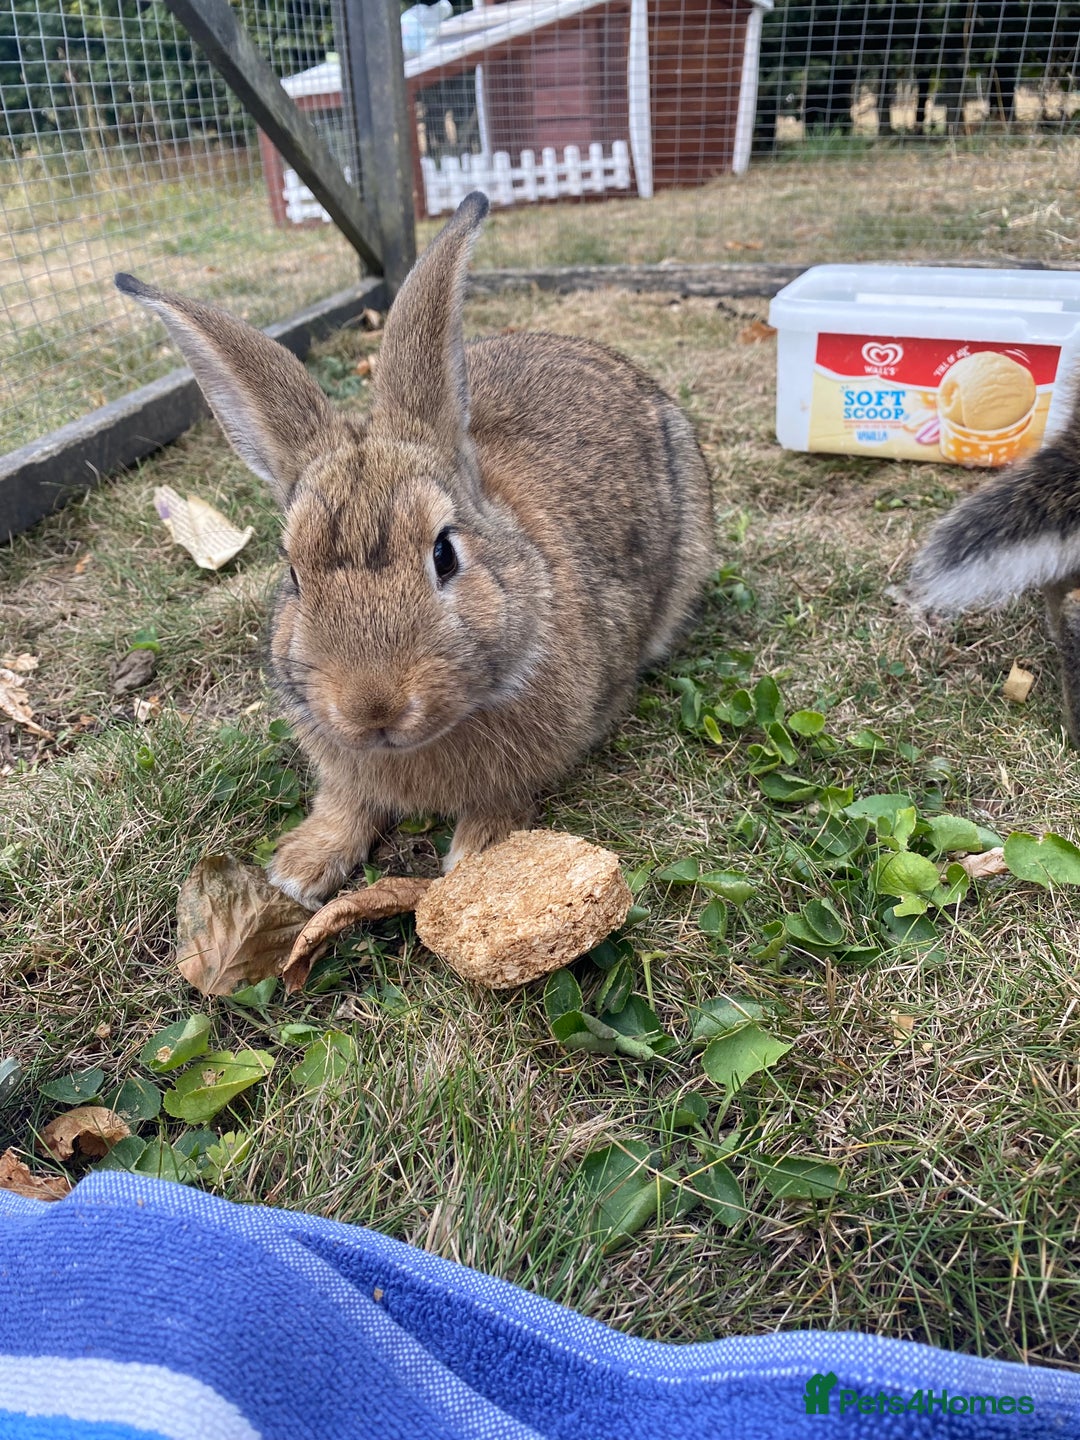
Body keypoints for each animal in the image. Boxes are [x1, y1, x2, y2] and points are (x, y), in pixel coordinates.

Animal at [115, 192, 715, 908]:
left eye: (444, 555)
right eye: (292, 574)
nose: (373, 706)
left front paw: (480, 851)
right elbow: (346, 800)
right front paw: (299, 868)